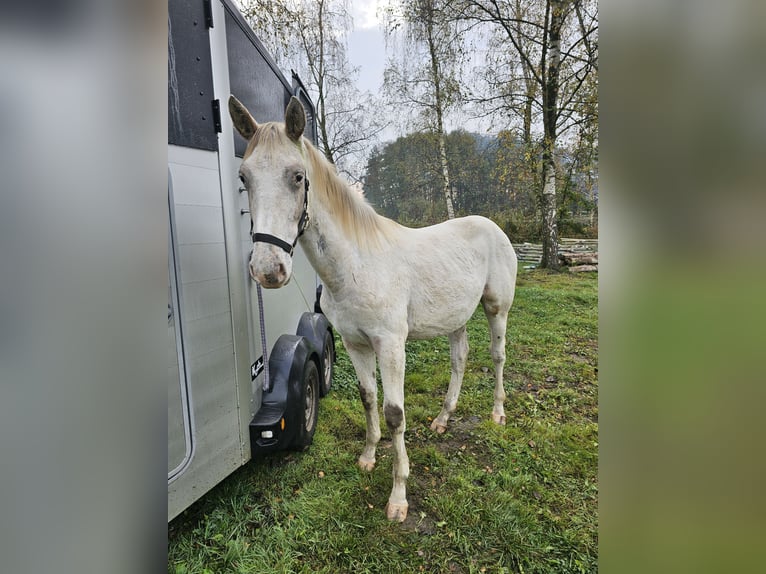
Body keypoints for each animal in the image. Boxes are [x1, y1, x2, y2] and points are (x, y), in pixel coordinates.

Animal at [231, 97, 520, 524]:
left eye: (298, 176)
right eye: (244, 177)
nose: (268, 270)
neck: (356, 264)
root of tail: (494, 227)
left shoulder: (391, 345)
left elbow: (394, 412)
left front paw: (398, 497)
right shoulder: (356, 344)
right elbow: (368, 398)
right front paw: (368, 457)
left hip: (496, 308)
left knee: (497, 356)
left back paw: (498, 413)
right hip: (455, 318)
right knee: (460, 360)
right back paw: (442, 419)